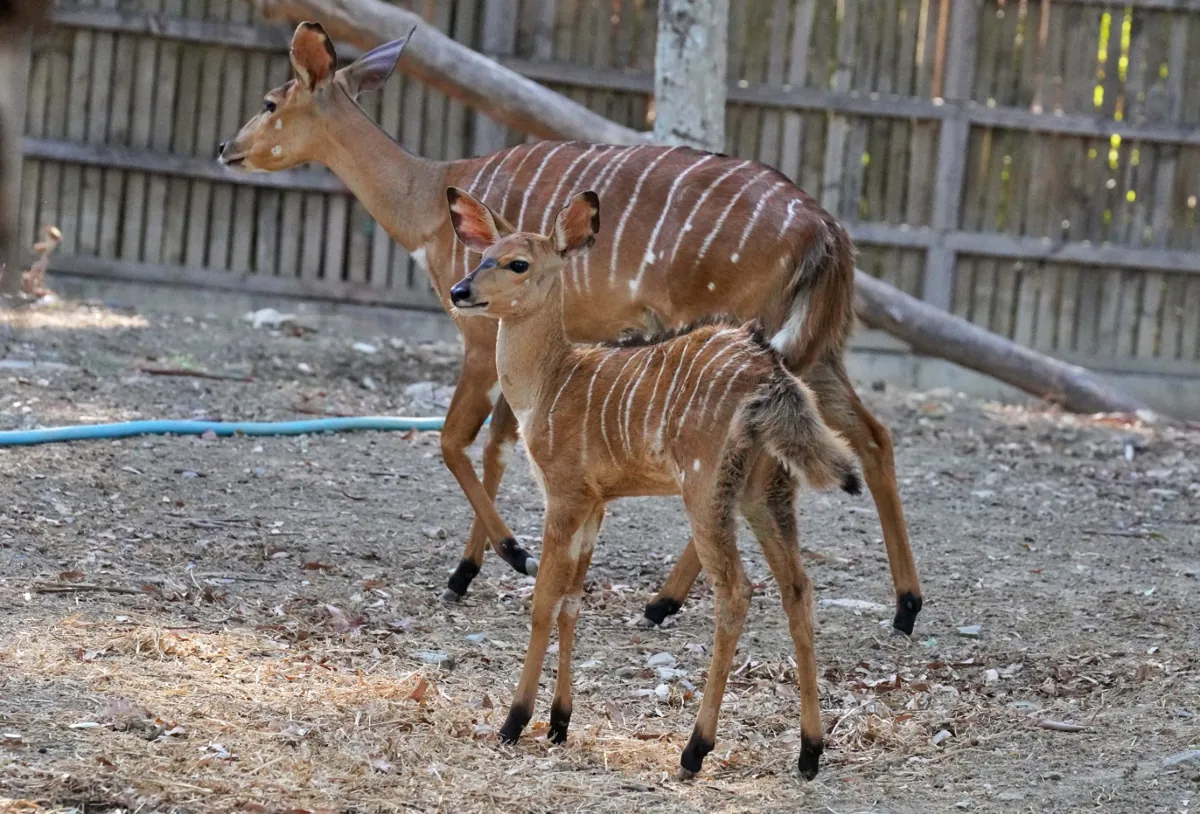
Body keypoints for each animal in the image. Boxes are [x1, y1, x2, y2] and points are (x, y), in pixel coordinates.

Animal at [216, 20, 921, 638]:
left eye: (270, 101)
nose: (226, 147)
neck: (427, 201)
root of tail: (826, 229)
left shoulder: (480, 337)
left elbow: (454, 442)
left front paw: (511, 554)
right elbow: (499, 446)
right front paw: (469, 570)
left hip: (755, 338)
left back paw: (661, 603)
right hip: (815, 351)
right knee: (874, 436)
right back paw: (906, 607)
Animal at [446, 186, 859, 782]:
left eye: (517, 263)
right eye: (483, 255)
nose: (461, 291)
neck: (551, 383)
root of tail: (771, 378)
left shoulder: (564, 494)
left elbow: (544, 599)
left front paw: (515, 721)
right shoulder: (597, 503)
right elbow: (574, 600)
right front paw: (560, 724)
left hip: (705, 489)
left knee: (737, 591)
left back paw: (694, 750)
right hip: (765, 493)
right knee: (797, 587)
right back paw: (809, 752)